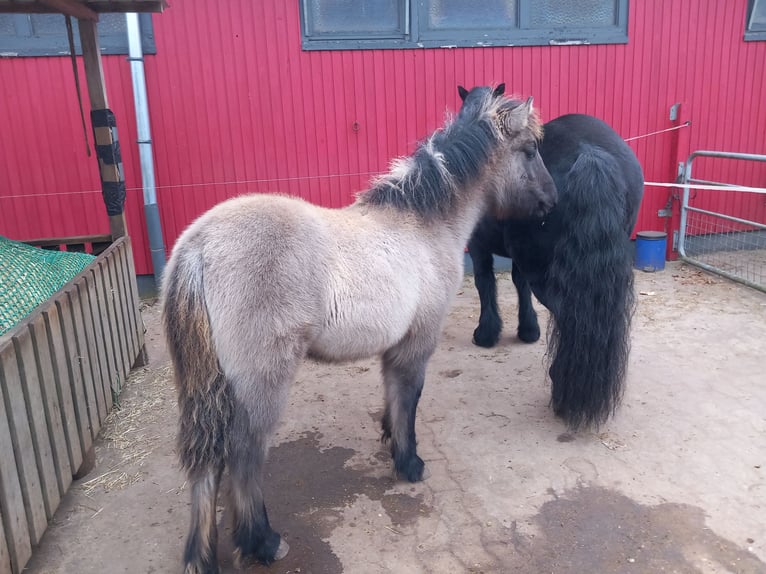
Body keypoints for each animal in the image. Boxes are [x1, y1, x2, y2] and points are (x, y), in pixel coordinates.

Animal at [162, 84, 557, 573]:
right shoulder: (418, 341)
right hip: (261, 382)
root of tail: (198, 246)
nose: (552, 201)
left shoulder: (396, 345)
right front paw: (409, 462)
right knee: (243, 455)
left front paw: (389, 438)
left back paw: (200, 555)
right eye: (530, 149)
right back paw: (263, 541)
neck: (423, 225)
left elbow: (393, 395)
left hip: (205, 385)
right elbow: (409, 397)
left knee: (205, 461)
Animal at [465, 105, 644, 431]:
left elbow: (485, 283)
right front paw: (527, 330)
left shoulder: (479, 246)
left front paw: (486, 333)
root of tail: (590, 152)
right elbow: (518, 284)